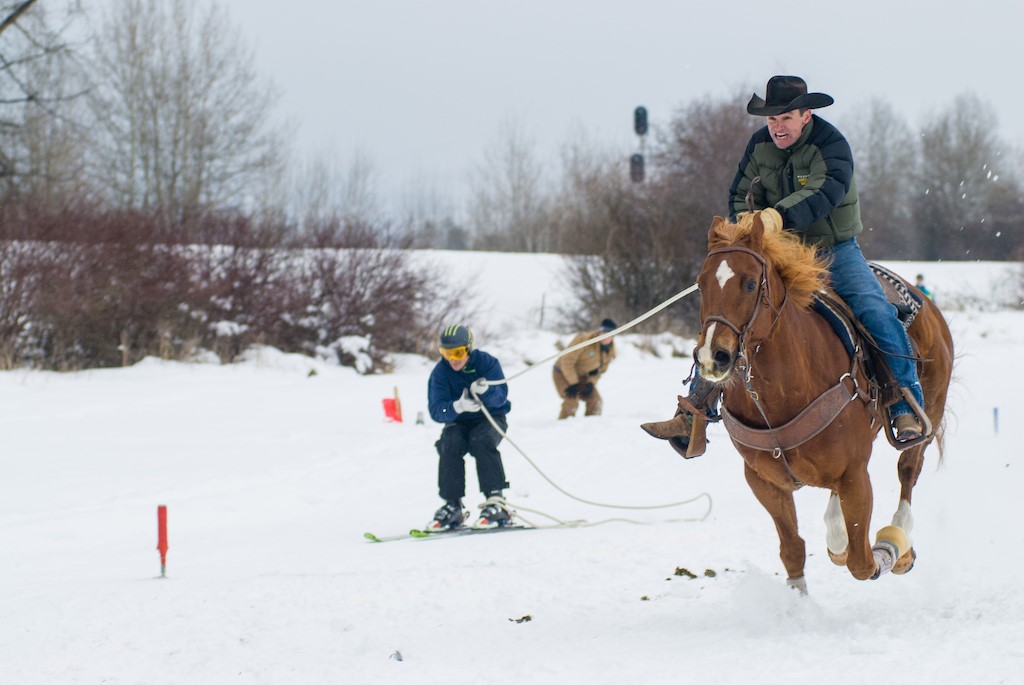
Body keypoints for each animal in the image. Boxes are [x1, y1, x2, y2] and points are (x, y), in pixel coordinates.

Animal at [692, 210, 954, 589]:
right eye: (701, 284)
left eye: (750, 283)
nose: (713, 357)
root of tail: (927, 304)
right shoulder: (763, 480)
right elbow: (792, 550)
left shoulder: (854, 474)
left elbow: (863, 563)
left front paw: (888, 551)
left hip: (927, 412)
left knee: (908, 469)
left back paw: (899, 538)